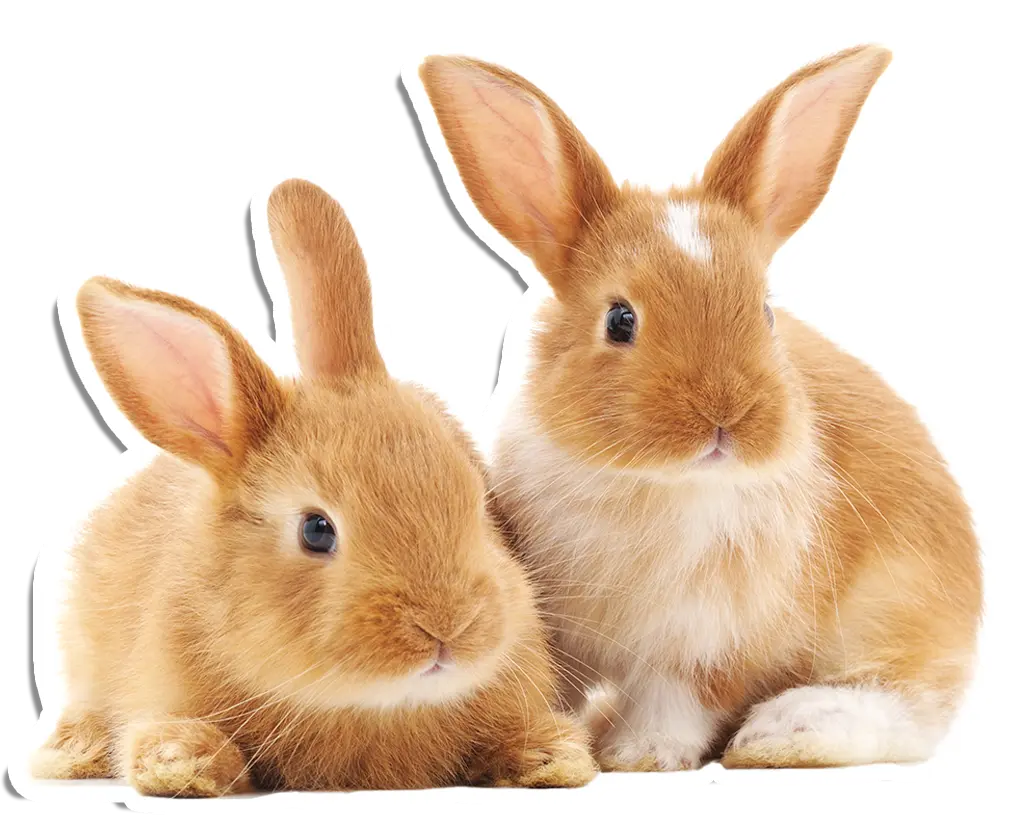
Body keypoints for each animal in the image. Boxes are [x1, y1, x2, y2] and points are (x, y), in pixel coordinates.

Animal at [30, 178, 597, 795]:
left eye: (477, 500)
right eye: (316, 531)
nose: (447, 625)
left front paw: (552, 757)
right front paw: (181, 762)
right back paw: (70, 752)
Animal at [419, 47, 983, 770]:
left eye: (765, 313)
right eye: (620, 320)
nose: (725, 416)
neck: (655, 485)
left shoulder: (712, 644)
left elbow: (679, 698)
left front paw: (641, 754)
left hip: (899, 615)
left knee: (908, 709)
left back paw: (787, 731)